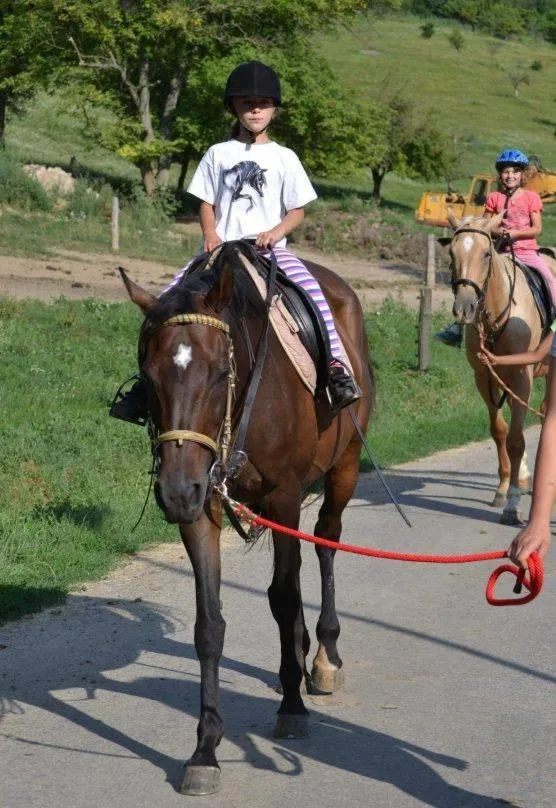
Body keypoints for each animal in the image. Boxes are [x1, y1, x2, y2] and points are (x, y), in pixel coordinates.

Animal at [118, 241, 373, 795]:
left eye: (219, 372)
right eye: (148, 378)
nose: (174, 491)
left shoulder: (283, 495)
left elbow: (284, 597)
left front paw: (293, 706)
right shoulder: (203, 502)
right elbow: (210, 625)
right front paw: (205, 749)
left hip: (343, 468)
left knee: (325, 543)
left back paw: (322, 657)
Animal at [445, 211, 556, 525]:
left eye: (486, 253)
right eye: (451, 253)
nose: (464, 308)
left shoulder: (521, 376)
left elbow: (517, 439)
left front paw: (513, 503)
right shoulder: (484, 376)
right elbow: (500, 431)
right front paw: (505, 486)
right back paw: (526, 476)